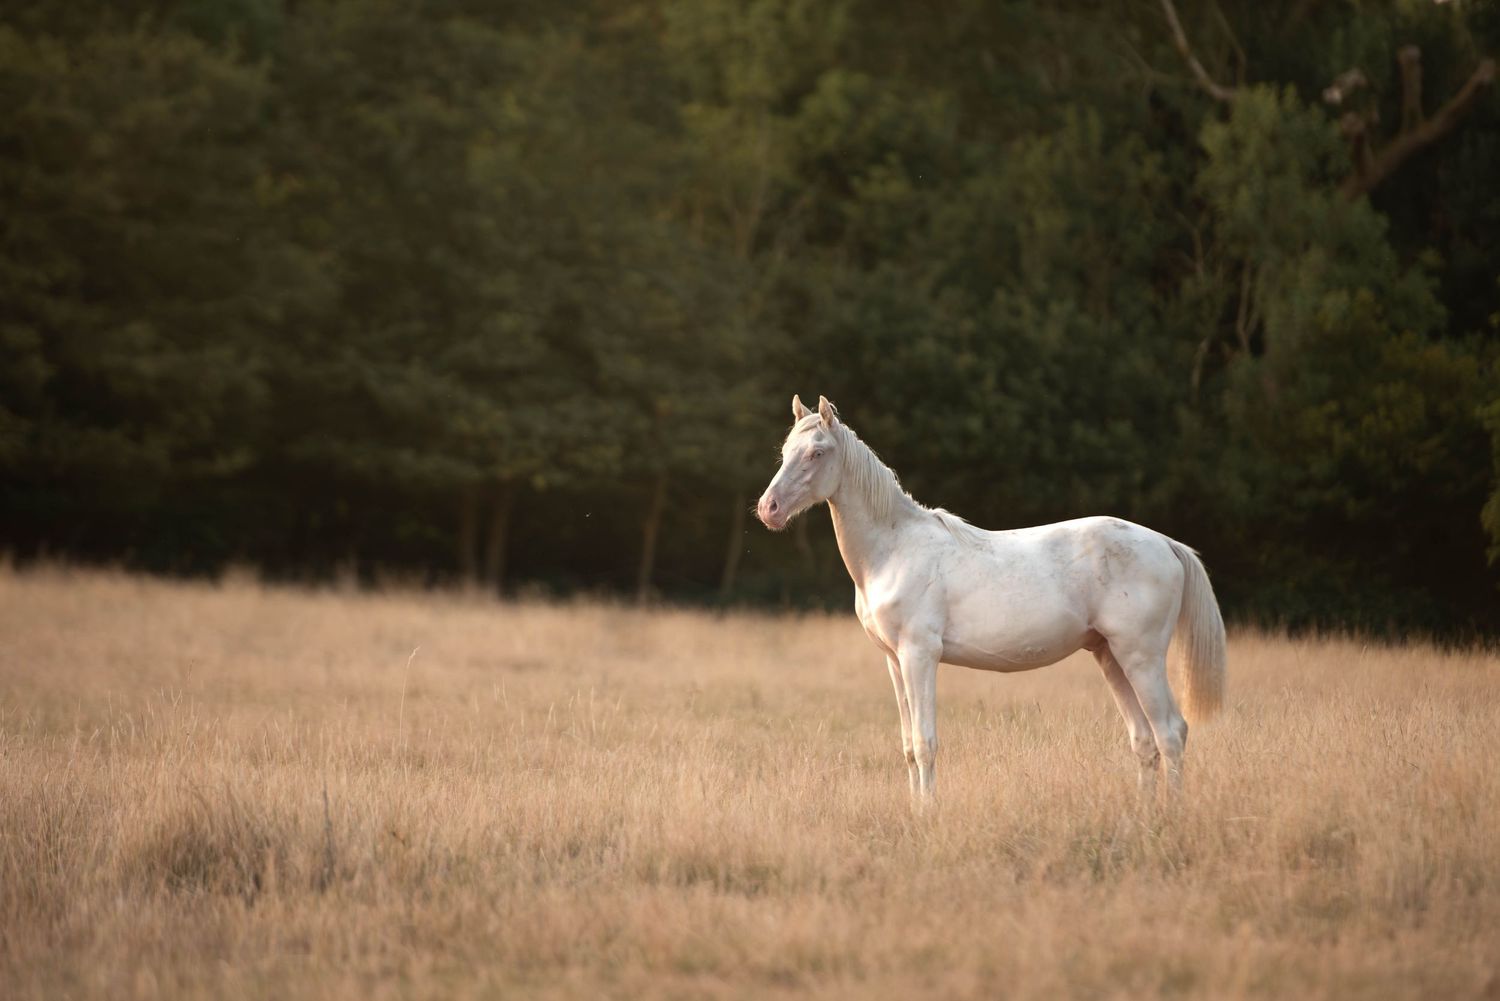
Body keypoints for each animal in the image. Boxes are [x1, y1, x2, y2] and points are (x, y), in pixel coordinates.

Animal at [755, 395, 1226, 802]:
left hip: (1141, 657)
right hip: (1110, 657)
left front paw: (928, 815)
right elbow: (908, 746)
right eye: (785, 449)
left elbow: (925, 743)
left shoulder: (919, 655)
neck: (894, 549)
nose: (768, 508)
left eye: (817, 453)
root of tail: (1165, 544)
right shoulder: (893, 660)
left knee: (1171, 733)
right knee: (1145, 742)